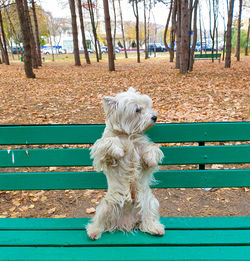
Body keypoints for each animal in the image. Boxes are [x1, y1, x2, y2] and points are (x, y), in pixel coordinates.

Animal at [86, 86, 164, 239]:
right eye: (137, 109)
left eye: (147, 106)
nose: (154, 117)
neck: (128, 135)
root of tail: (127, 223)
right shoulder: (102, 152)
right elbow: (109, 142)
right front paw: (119, 151)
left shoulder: (142, 147)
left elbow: (152, 148)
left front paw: (151, 159)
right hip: (107, 206)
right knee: (99, 221)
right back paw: (93, 232)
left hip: (149, 203)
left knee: (148, 218)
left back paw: (155, 228)